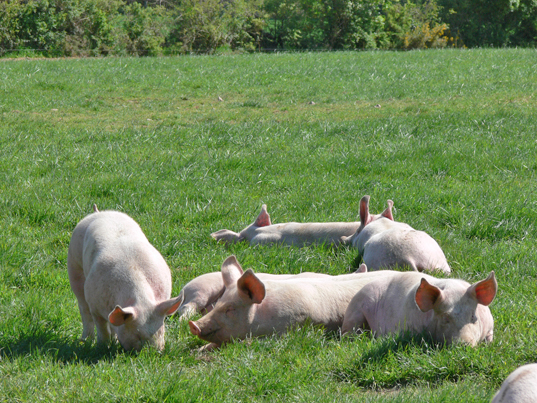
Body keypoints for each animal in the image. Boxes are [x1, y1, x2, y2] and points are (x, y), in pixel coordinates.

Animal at [66, 207, 184, 352]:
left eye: (161, 330)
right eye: (137, 334)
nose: (155, 352)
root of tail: (99, 212)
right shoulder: (95, 307)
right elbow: (102, 329)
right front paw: (102, 346)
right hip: (74, 266)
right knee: (84, 310)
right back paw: (85, 341)